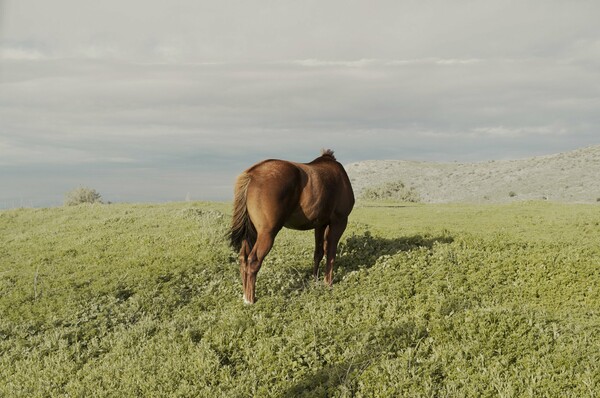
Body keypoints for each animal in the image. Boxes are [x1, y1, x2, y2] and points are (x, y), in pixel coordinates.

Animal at [229, 148, 352, 304]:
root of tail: (252, 174)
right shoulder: (339, 222)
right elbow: (331, 253)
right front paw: (328, 284)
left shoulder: (320, 225)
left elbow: (318, 253)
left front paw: (315, 280)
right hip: (267, 233)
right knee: (253, 260)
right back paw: (250, 300)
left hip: (252, 232)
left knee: (243, 258)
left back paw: (245, 295)